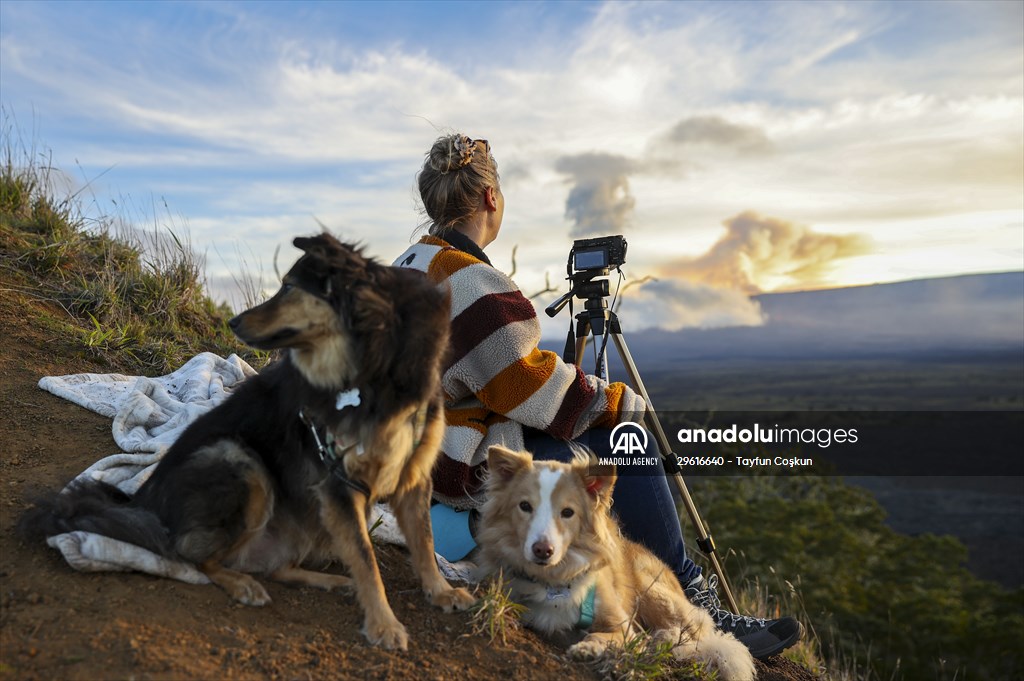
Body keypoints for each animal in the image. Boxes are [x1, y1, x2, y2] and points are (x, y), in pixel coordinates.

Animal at [19, 232, 475, 647]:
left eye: (289, 287)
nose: (233, 321)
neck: (373, 365)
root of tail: (144, 506)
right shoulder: (336, 480)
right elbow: (367, 559)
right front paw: (383, 624)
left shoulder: (412, 475)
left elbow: (423, 541)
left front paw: (440, 591)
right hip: (241, 463)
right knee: (190, 555)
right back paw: (241, 584)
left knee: (274, 565)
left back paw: (325, 580)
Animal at [475, 446, 757, 679]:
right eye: (524, 506)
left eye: (568, 512)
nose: (543, 550)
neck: (556, 580)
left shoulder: (622, 625)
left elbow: (606, 634)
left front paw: (588, 647)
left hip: (650, 589)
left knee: (696, 631)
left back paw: (665, 637)